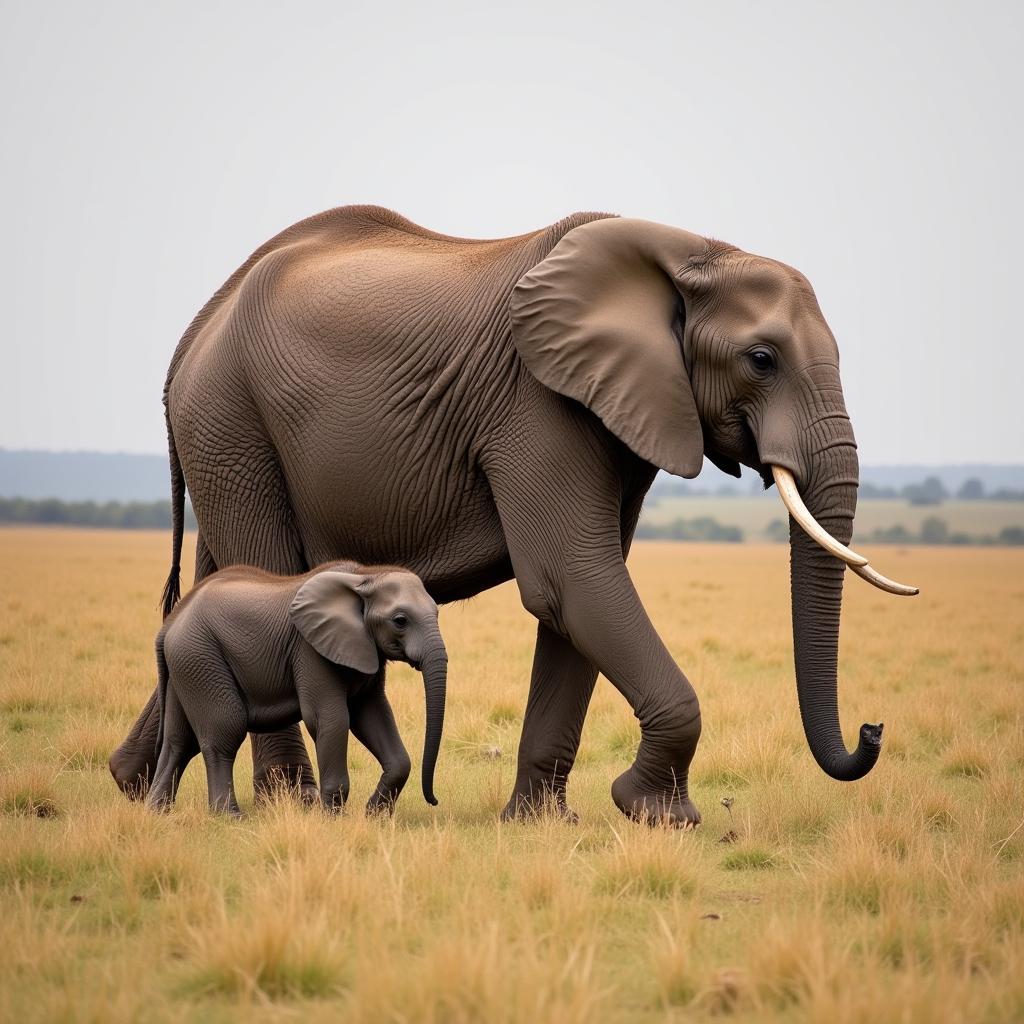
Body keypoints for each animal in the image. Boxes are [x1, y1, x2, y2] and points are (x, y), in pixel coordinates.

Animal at [146, 561, 446, 815]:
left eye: (437, 613)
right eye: (400, 620)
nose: (434, 800)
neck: (365, 576)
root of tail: (169, 624)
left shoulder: (365, 649)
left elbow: (372, 716)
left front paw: (374, 815)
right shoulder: (309, 650)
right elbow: (331, 719)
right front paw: (331, 818)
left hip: (187, 665)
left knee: (179, 742)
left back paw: (157, 812)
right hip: (201, 656)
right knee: (224, 731)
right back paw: (228, 816)